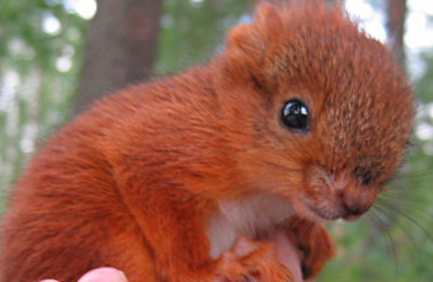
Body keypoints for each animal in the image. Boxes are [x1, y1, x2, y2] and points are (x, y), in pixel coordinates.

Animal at [0, 2, 412, 282]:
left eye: (406, 138)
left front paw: (313, 236)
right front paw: (206, 270)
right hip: (91, 229)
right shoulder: (158, 147)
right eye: (294, 113)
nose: (355, 203)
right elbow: (170, 225)